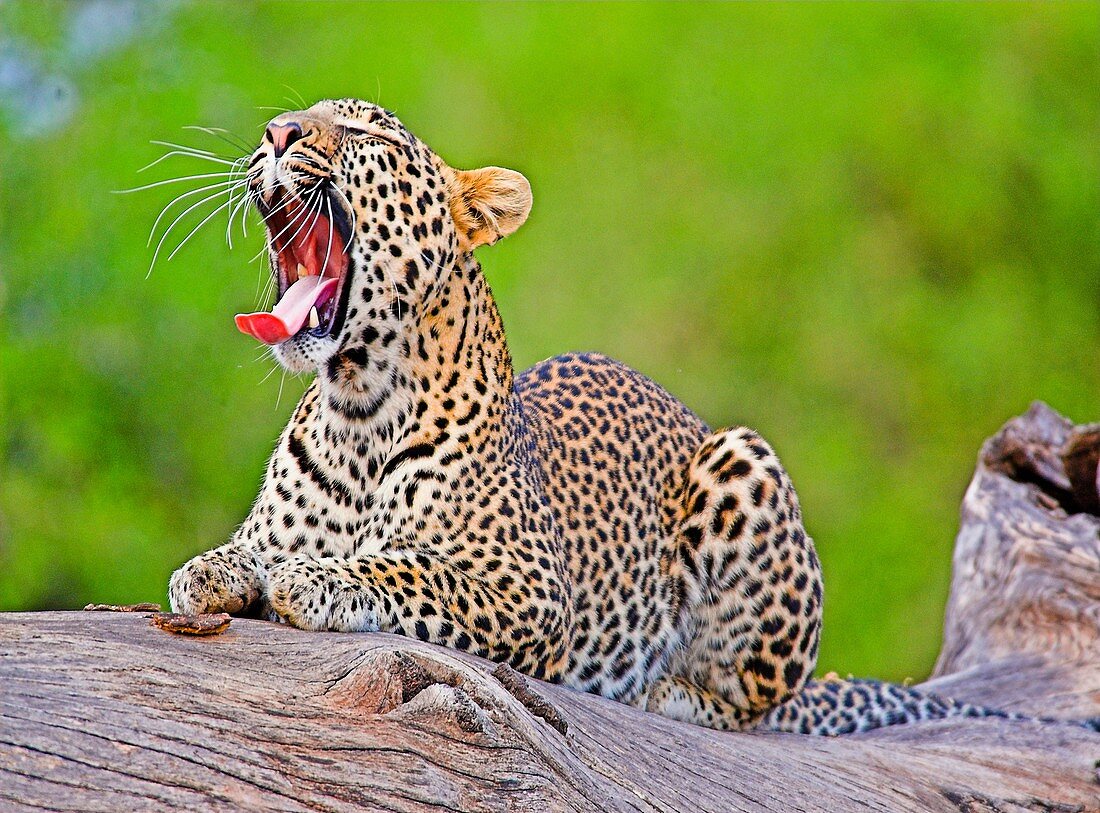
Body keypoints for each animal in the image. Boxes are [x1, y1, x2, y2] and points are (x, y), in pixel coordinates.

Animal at [169, 96, 1100, 739]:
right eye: (294, 120)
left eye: (369, 136)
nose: (278, 132)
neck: (357, 404)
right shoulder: (280, 519)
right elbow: (242, 552)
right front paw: (212, 570)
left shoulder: (525, 586)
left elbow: (401, 569)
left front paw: (318, 579)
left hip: (744, 464)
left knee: (759, 703)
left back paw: (668, 691)